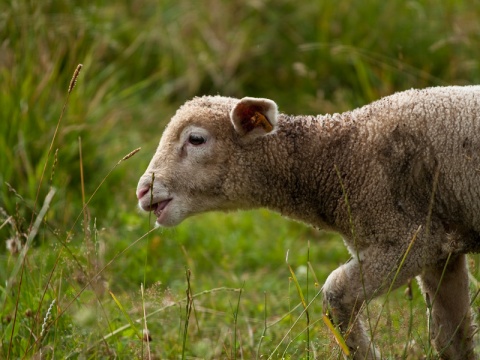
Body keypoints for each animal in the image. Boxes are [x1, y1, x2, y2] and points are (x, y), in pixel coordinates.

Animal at [135, 86, 480, 358]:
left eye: (196, 139)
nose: (142, 190)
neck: (339, 157)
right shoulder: (441, 249)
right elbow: (451, 337)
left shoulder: (410, 240)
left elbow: (336, 293)